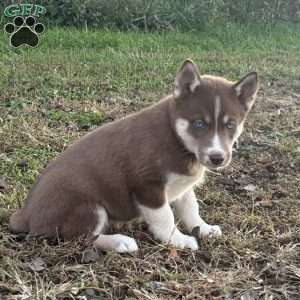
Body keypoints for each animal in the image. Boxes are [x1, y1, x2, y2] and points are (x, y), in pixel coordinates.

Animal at [9, 59, 258, 252]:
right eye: (199, 123)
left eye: (230, 125)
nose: (217, 158)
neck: (177, 138)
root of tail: (25, 215)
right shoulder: (147, 186)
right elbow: (165, 218)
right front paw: (178, 241)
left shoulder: (182, 186)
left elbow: (191, 209)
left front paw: (204, 229)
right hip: (87, 207)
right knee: (81, 238)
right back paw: (120, 242)